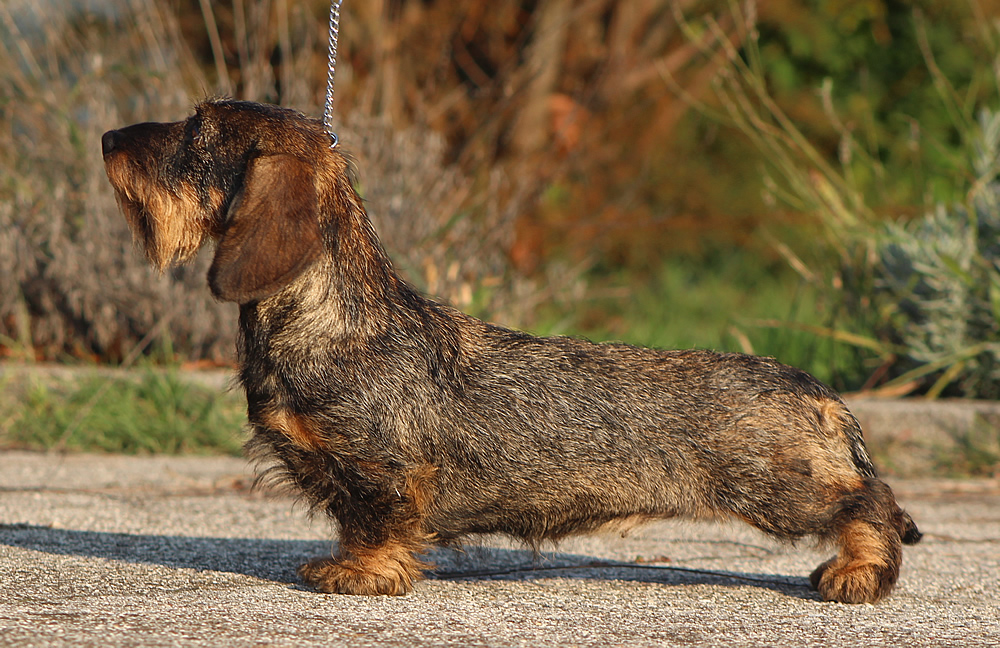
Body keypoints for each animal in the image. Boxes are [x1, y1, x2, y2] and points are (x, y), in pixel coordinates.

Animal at [103, 100, 920, 604]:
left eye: (196, 131)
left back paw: (857, 575)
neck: (332, 318)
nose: (108, 139)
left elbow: (373, 523)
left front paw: (358, 575)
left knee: (871, 501)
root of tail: (816, 390)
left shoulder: (379, 470)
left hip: (777, 488)